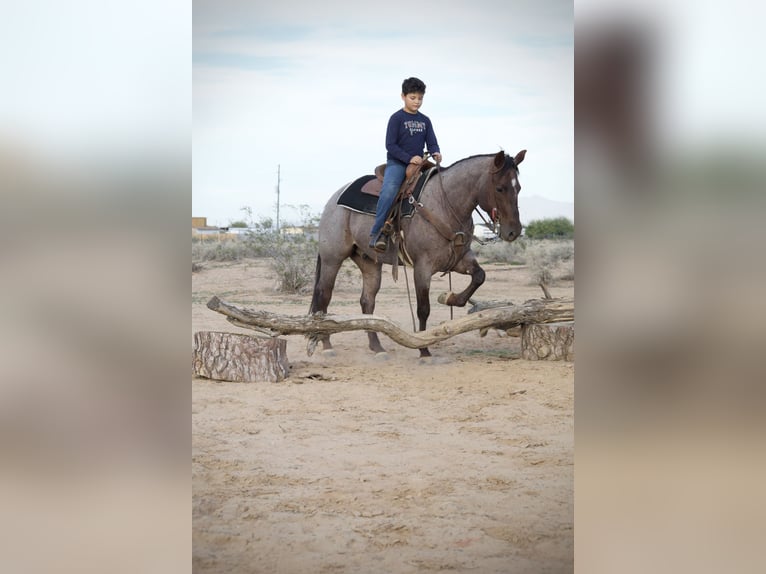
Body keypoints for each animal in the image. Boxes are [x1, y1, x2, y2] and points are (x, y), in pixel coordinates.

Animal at [309, 149, 526, 358]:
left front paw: (449, 298)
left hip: (370, 262)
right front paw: (423, 349)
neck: (444, 204)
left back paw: (377, 348)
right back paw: (327, 345)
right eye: (500, 188)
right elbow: (423, 309)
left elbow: (480, 276)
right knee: (324, 296)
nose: (513, 231)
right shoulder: (422, 267)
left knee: (367, 302)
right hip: (332, 259)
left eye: (519, 188)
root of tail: (332, 201)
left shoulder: (459, 259)